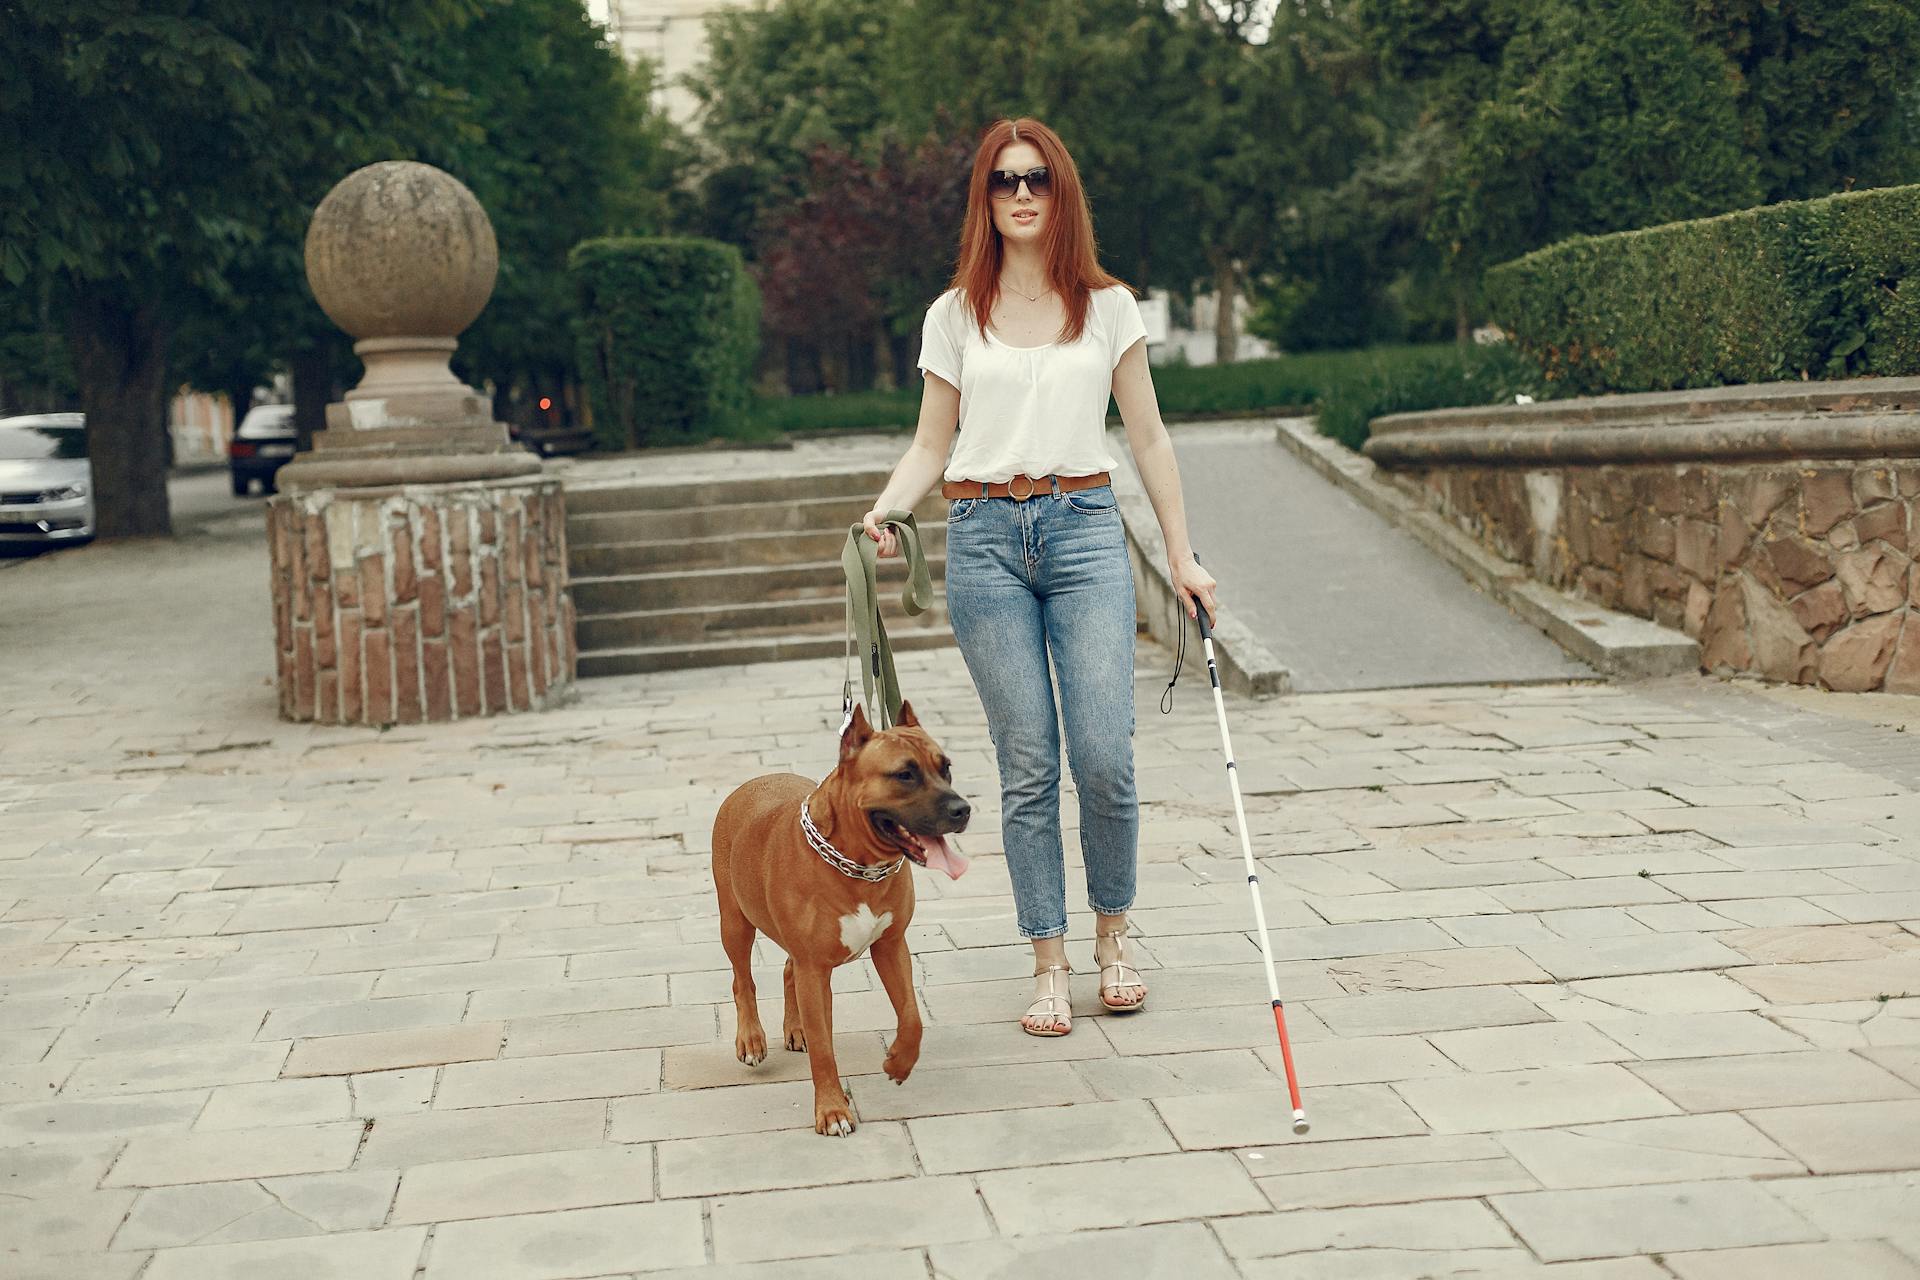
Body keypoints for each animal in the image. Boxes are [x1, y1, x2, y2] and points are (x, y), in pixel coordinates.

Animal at [710, 706, 967, 1136]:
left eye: (945, 767)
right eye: (905, 774)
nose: (962, 809)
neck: (860, 866)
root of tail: (754, 781)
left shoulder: (891, 946)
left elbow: (912, 1016)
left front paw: (899, 1061)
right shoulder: (815, 969)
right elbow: (824, 1050)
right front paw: (832, 1111)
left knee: (787, 969)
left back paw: (794, 1029)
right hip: (735, 921)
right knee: (742, 980)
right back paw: (751, 1039)